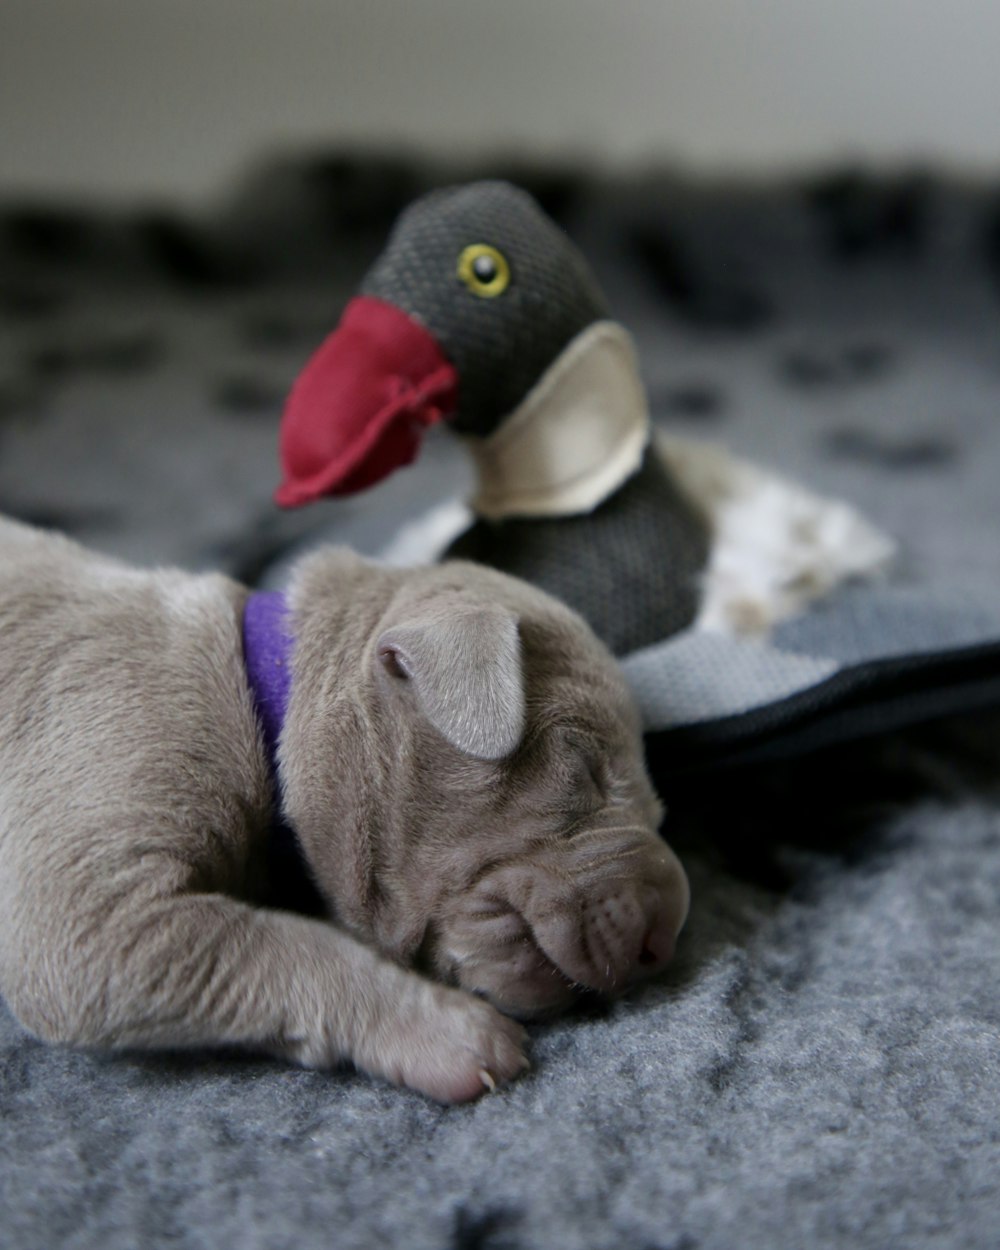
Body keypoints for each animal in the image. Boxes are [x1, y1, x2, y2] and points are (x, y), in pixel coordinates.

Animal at [0, 512, 690, 1100]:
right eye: (586, 766)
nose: (666, 940)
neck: (262, 689)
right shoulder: (94, 907)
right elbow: (281, 944)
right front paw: (455, 1035)